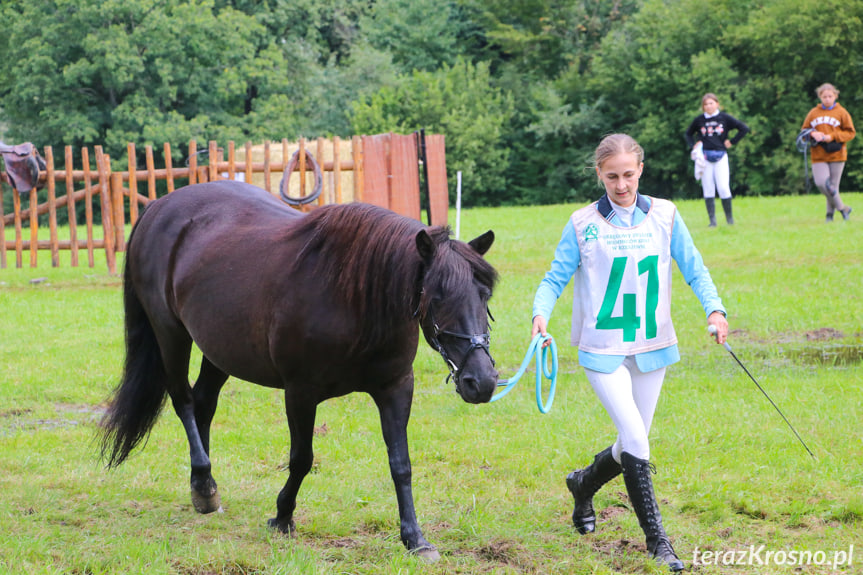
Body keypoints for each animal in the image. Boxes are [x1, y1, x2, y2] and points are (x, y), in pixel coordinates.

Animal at [99, 182, 500, 560]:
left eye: (484, 295)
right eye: (437, 296)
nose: (481, 382)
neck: (355, 298)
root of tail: (158, 206)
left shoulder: (396, 387)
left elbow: (401, 463)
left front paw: (415, 538)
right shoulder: (300, 392)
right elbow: (301, 459)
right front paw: (282, 516)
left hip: (220, 347)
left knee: (203, 404)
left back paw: (204, 487)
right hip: (170, 333)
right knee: (183, 400)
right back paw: (202, 480)